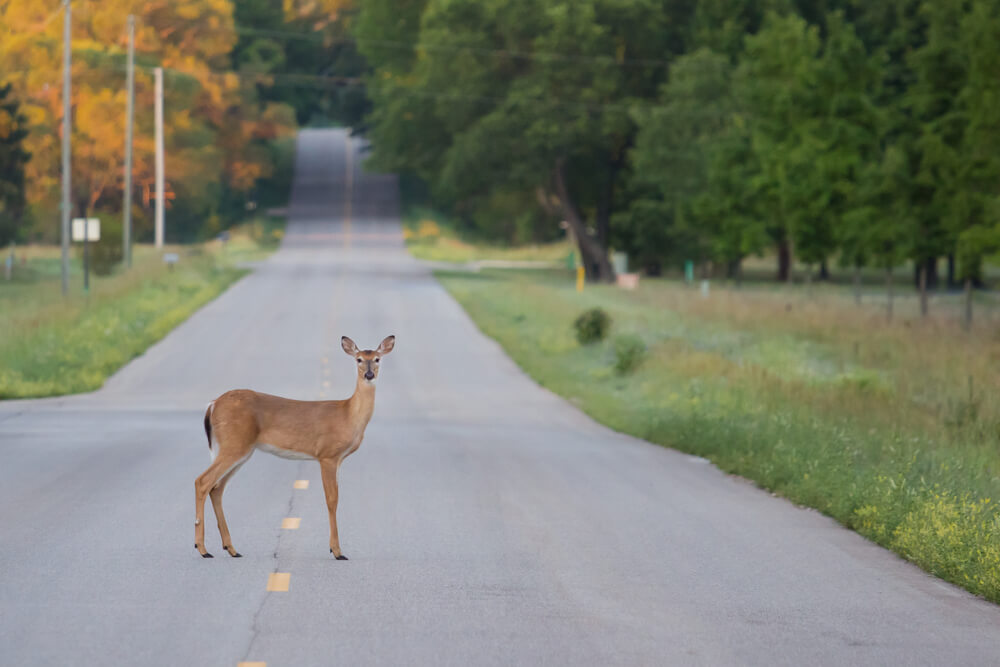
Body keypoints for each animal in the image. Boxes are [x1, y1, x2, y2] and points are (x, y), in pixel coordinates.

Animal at [193, 336, 396, 560]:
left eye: (377, 359)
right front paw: (336, 550)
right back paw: (202, 549)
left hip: (241, 450)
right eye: (358, 359)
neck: (348, 415)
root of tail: (212, 405)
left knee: (217, 488)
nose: (369, 374)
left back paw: (231, 548)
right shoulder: (327, 454)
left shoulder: (338, 459)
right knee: (202, 481)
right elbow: (332, 499)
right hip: (234, 444)